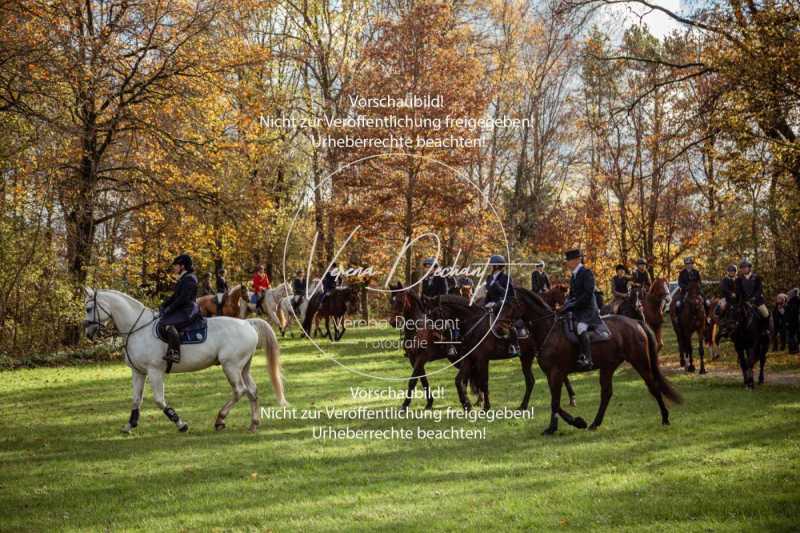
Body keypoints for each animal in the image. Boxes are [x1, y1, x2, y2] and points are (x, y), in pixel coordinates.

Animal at [83, 286, 284, 432]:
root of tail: (247, 323)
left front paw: (180, 423)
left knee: (240, 390)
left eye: (88, 308)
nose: (87, 333)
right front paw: (129, 425)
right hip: (243, 367)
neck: (138, 329)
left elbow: (159, 400)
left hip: (231, 366)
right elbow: (136, 400)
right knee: (252, 390)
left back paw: (220, 419)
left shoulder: (155, 371)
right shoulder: (138, 372)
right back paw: (253, 423)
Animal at [516, 286, 684, 432]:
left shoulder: (556, 372)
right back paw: (595, 423)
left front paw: (563, 425)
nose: (515, 328)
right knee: (606, 393)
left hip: (639, 361)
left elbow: (555, 402)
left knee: (653, 386)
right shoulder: (552, 373)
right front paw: (569, 423)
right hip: (608, 366)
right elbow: (555, 402)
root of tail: (636, 323)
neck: (548, 330)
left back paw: (665, 418)